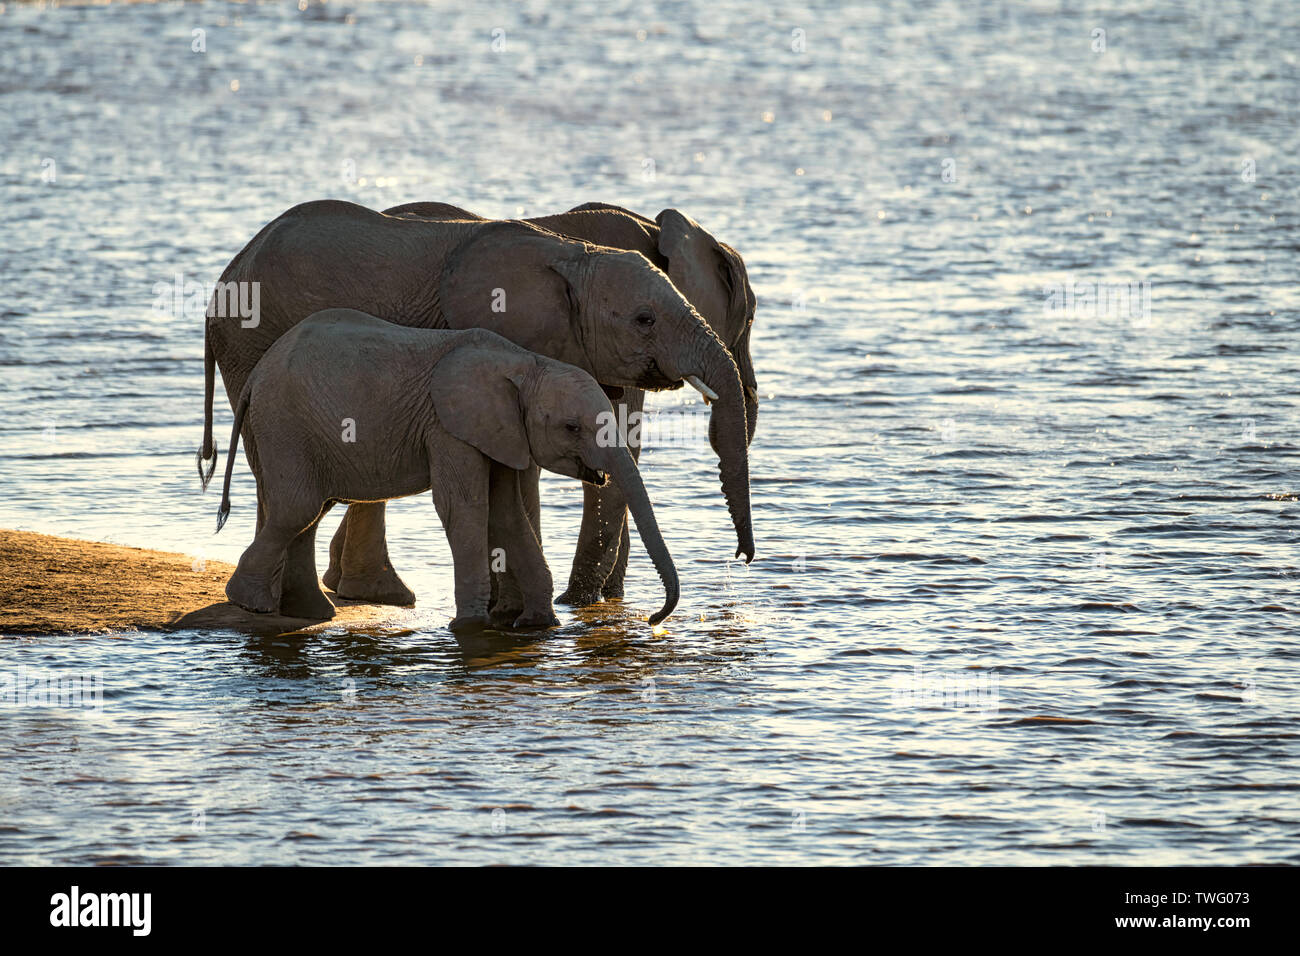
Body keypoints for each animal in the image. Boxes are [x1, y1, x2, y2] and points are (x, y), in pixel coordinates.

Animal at [213, 308, 681, 634]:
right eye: (572, 428)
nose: (654, 620)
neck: (524, 363)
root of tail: (257, 373)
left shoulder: (500, 431)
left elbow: (506, 515)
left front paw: (540, 625)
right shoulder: (449, 427)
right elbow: (466, 508)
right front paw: (471, 626)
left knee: (308, 511)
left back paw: (308, 612)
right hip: (286, 424)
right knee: (299, 507)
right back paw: (250, 603)